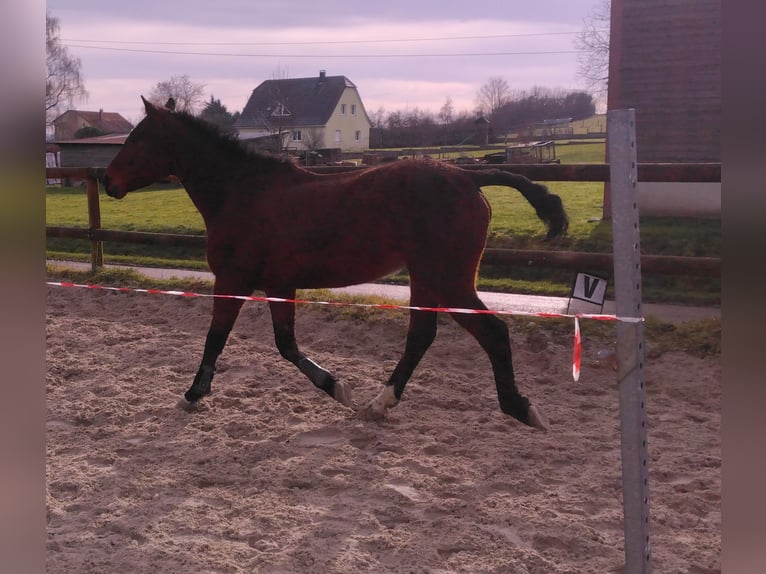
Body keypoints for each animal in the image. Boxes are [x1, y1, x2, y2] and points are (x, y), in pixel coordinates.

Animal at [105, 99, 568, 430]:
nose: (108, 181)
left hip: (447, 279)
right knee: (422, 336)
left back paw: (520, 408)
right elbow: (286, 345)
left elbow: (216, 338)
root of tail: (468, 177)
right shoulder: (278, 285)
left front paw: (193, 394)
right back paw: (379, 404)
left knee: (492, 332)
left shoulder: (234, 280)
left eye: (137, 138)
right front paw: (336, 387)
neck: (241, 191)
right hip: (427, 278)